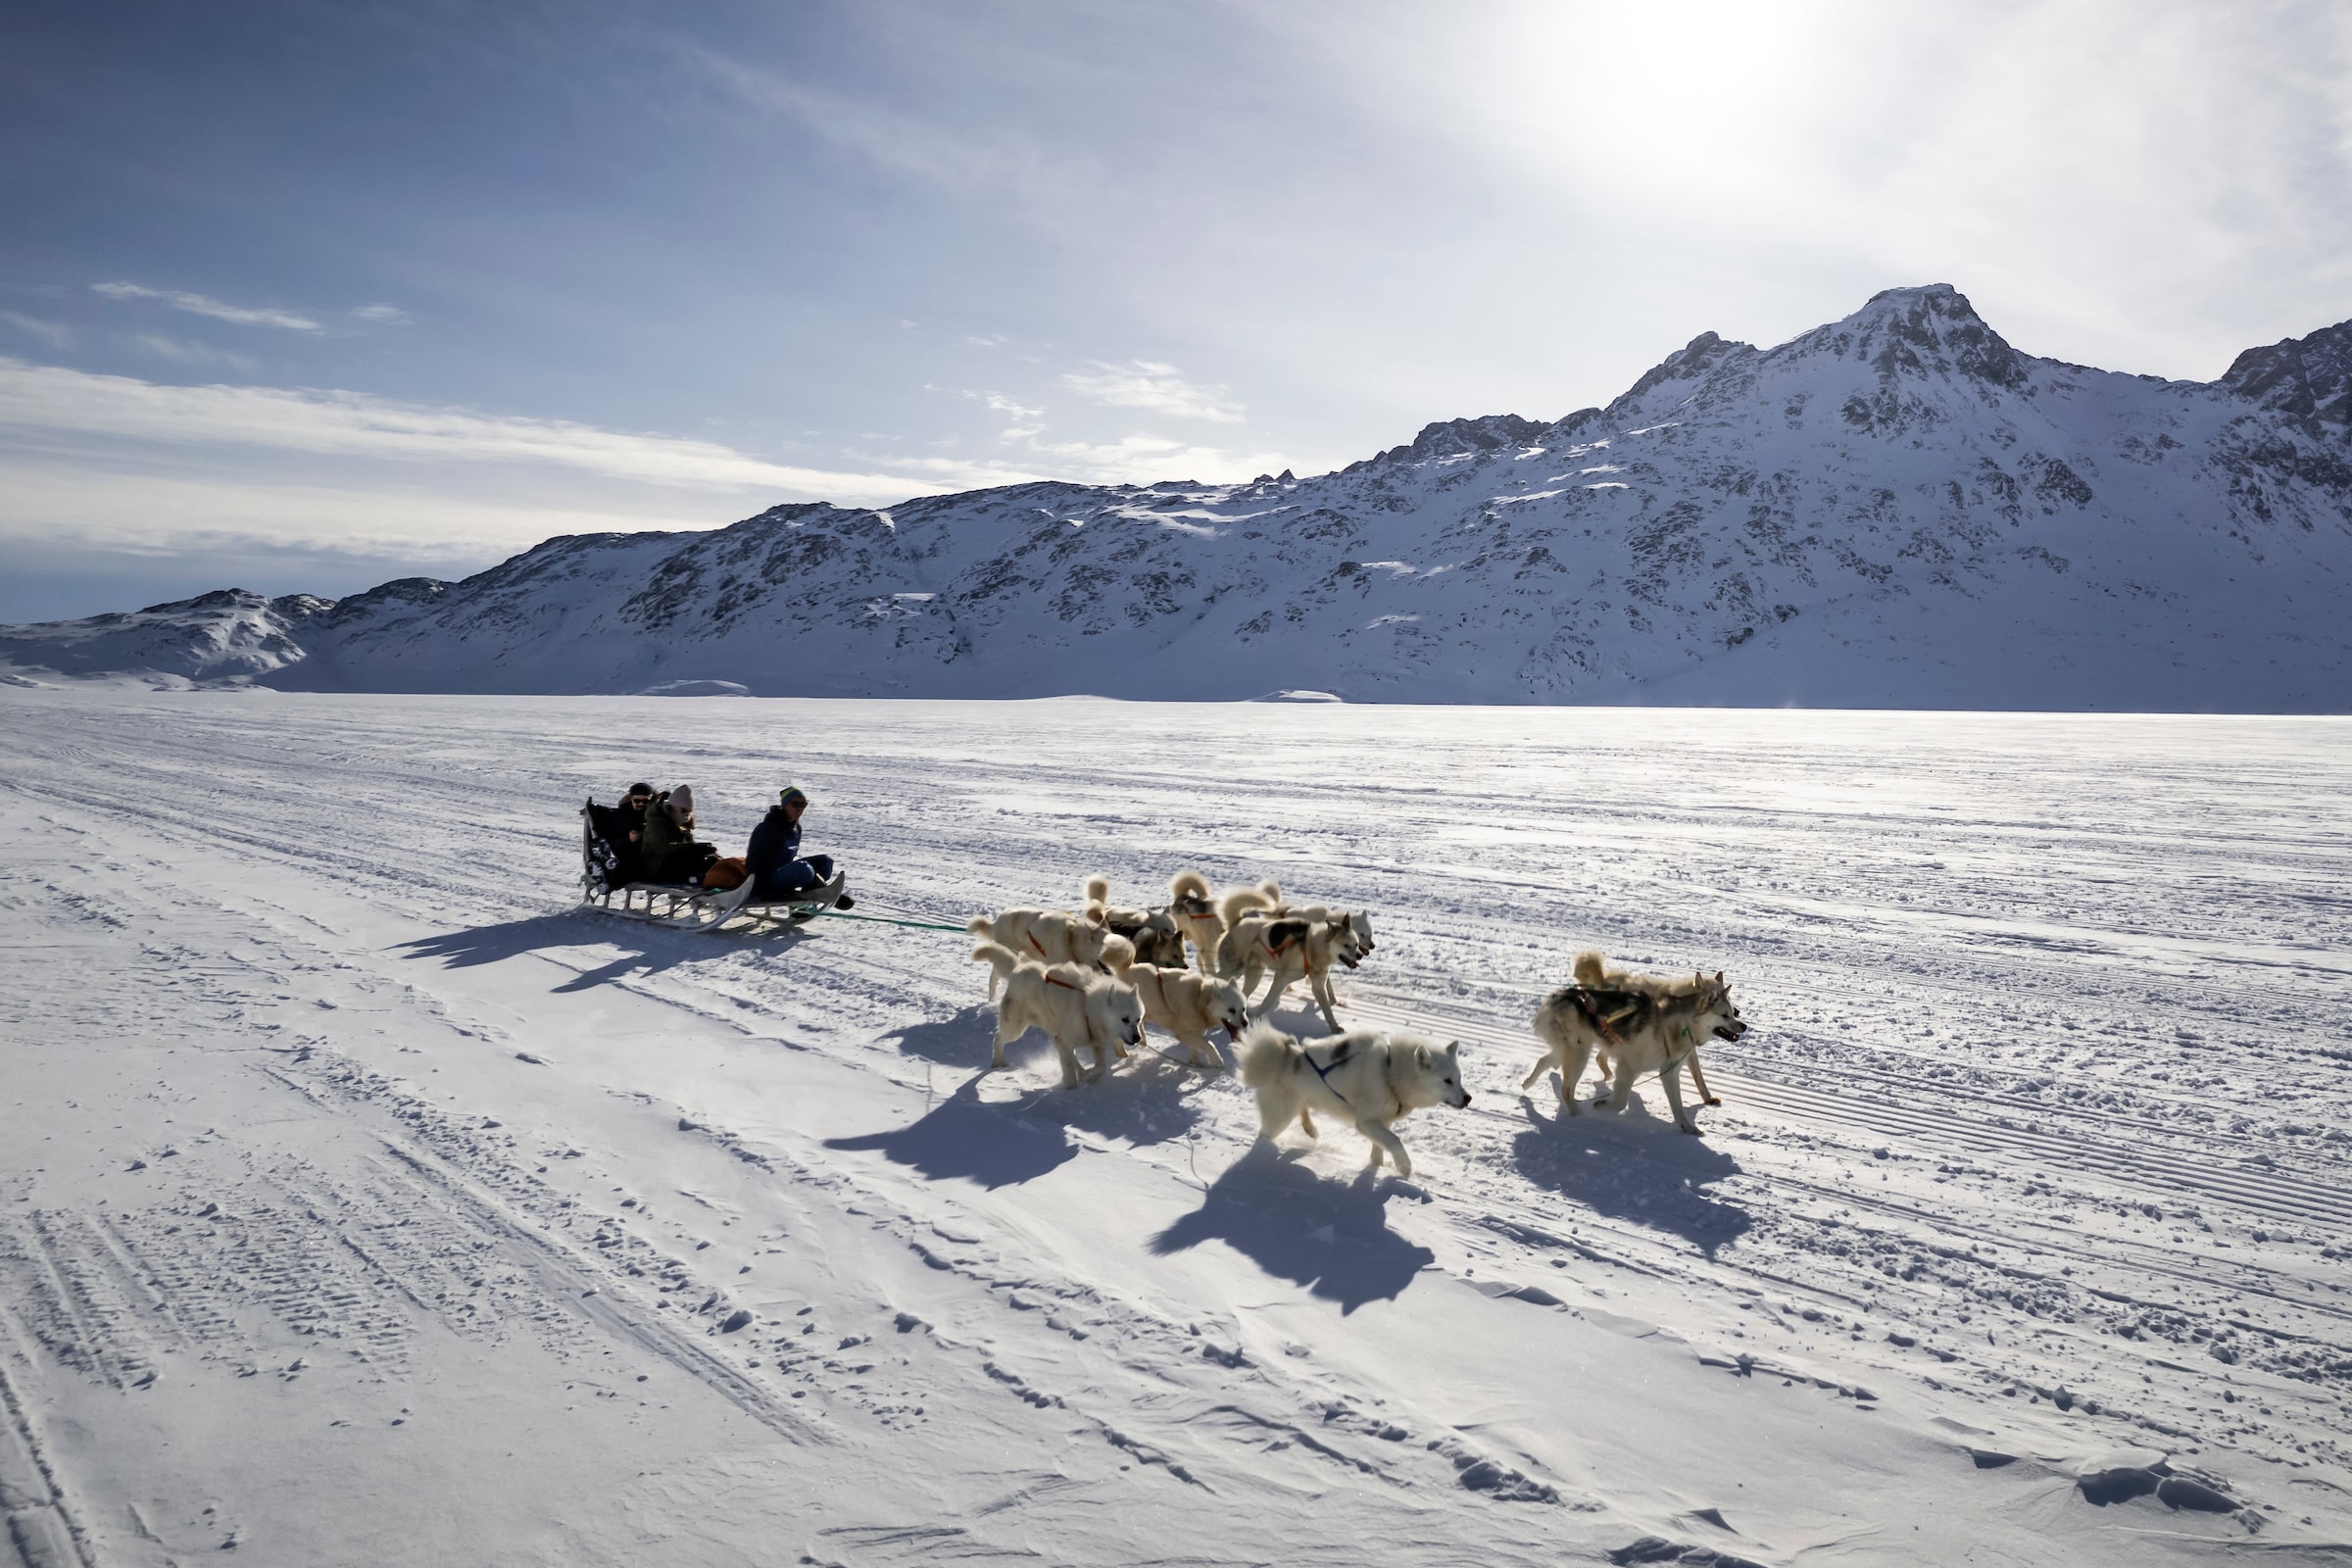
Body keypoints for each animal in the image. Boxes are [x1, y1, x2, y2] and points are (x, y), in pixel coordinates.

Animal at [968, 945, 1143, 1091]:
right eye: (1124, 1019)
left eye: (1138, 1019)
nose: (1137, 1038)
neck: (1088, 1006)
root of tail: (1018, 969)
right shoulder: (1065, 1042)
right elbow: (1072, 1074)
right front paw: (1071, 1091)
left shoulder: (1094, 1043)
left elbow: (1101, 1068)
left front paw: (1088, 1076)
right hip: (1016, 1029)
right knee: (998, 1038)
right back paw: (997, 1063)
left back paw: (1081, 1072)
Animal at [1101, 945, 1250, 1067]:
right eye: (1231, 1010)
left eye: (1243, 1009)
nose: (1245, 1023)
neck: (1199, 997)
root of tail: (1126, 967)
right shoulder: (1183, 1033)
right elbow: (1208, 1045)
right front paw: (1216, 1060)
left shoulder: (1195, 1032)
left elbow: (1196, 1048)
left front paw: (1196, 1064)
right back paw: (1123, 1055)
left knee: (1139, 1025)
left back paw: (1142, 1041)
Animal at [1232, 1020, 1467, 1175]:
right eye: (1447, 1081)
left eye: (1460, 1078)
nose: (1468, 1098)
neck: (1390, 1070)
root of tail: (1282, 1058)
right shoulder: (1365, 1121)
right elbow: (1394, 1141)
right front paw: (1404, 1167)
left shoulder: (1381, 1121)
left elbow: (1380, 1146)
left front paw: (1376, 1166)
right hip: (1279, 1117)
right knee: (1264, 1134)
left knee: (1303, 1110)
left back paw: (1310, 1129)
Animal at [1524, 950, 1749, 1133]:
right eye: (1725, 1015)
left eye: (1732, 1012)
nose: (1743, 1024)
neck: (1678, 1024)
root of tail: (1563, 993)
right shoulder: (1629, 1066)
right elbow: (1620, 1101)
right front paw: (1602, 1106)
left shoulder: (1668, 1071)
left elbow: (1679, 1103)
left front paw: (1689, 1126)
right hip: (1579, 1055)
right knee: (1566, 1088)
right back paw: (1580, 1115)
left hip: (1572, 1051)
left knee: (1545, 1062)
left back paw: (1527, 1084)